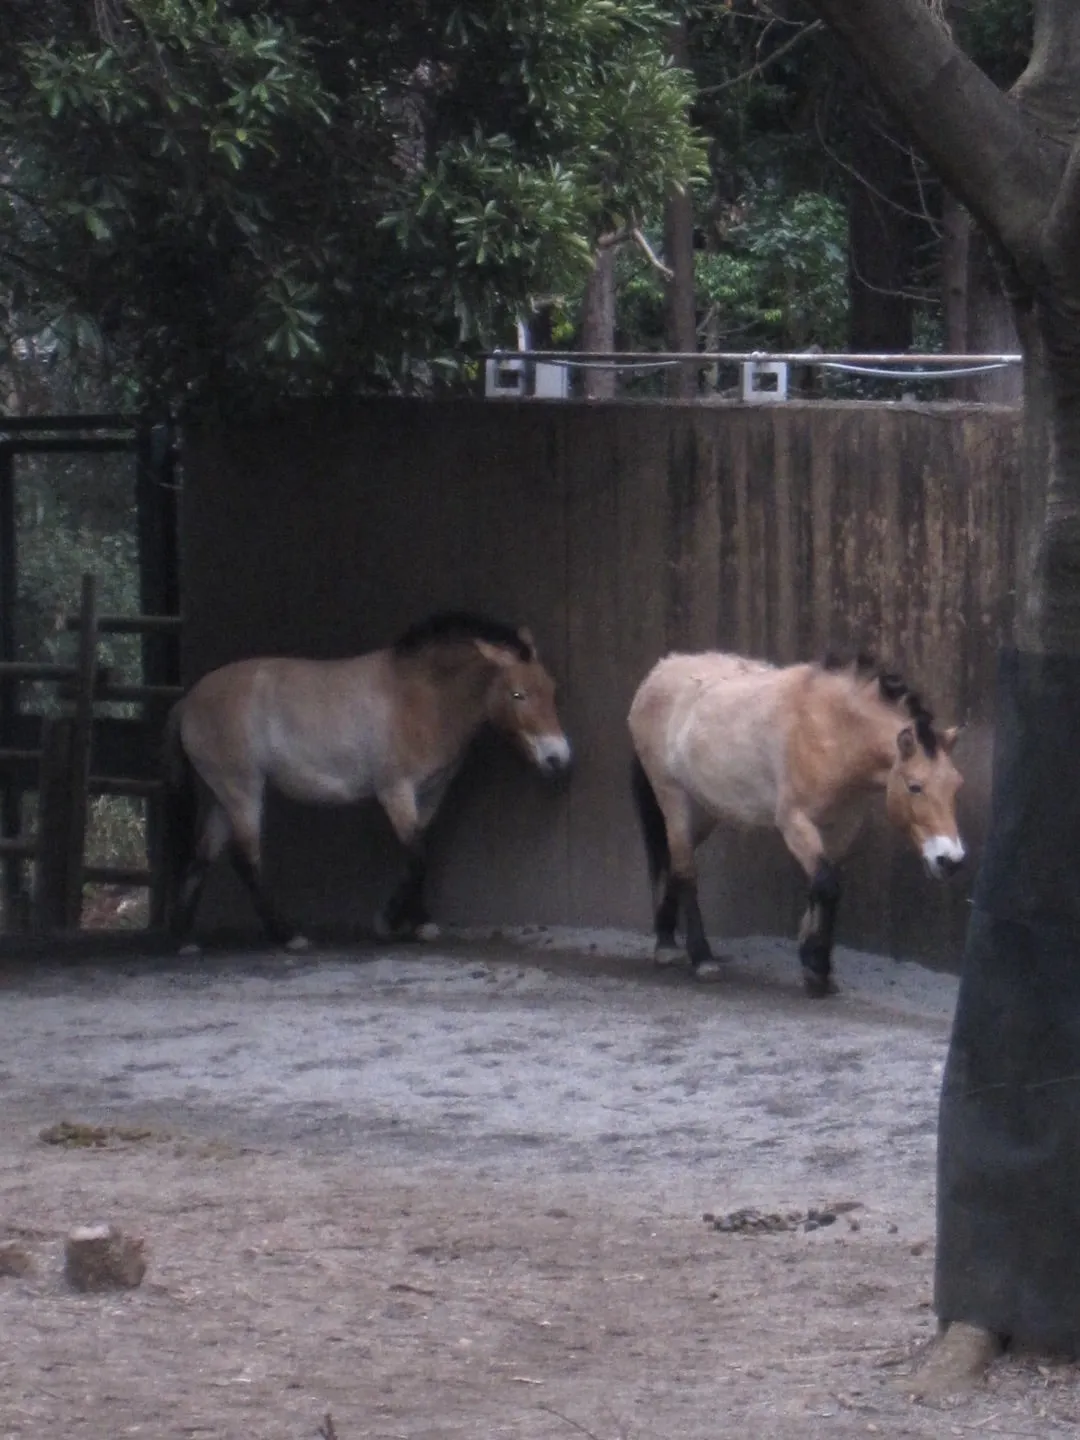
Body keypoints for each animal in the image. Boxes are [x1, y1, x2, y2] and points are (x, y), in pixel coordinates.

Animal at [163, 611, 572, 951]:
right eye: (518, 694)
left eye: (552, 690)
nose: (558, 759)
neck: (422, 698)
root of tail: (188, 701)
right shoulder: (396, 791)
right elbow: (417, 854)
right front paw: (390, 923)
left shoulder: (430, 794)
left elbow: (419, 851)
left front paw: (417, 922)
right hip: (242, 790)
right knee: (245, 858)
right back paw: (288, 936)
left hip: (222, 795)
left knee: (202, 855)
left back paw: (184, 940)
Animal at [627, 650, 965, 997]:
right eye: (915, 787)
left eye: (956, 786)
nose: (950, 860)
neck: (832, 730)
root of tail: (660, 671)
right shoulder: (795, 821)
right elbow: (827, 885)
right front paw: (817, 968)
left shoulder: (841, 827)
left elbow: (821, 884)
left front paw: (813, 961)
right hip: (674, 799)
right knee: (685, 871)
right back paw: (700, 958)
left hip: (705, 810)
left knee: (669, 861)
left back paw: (667, 942)